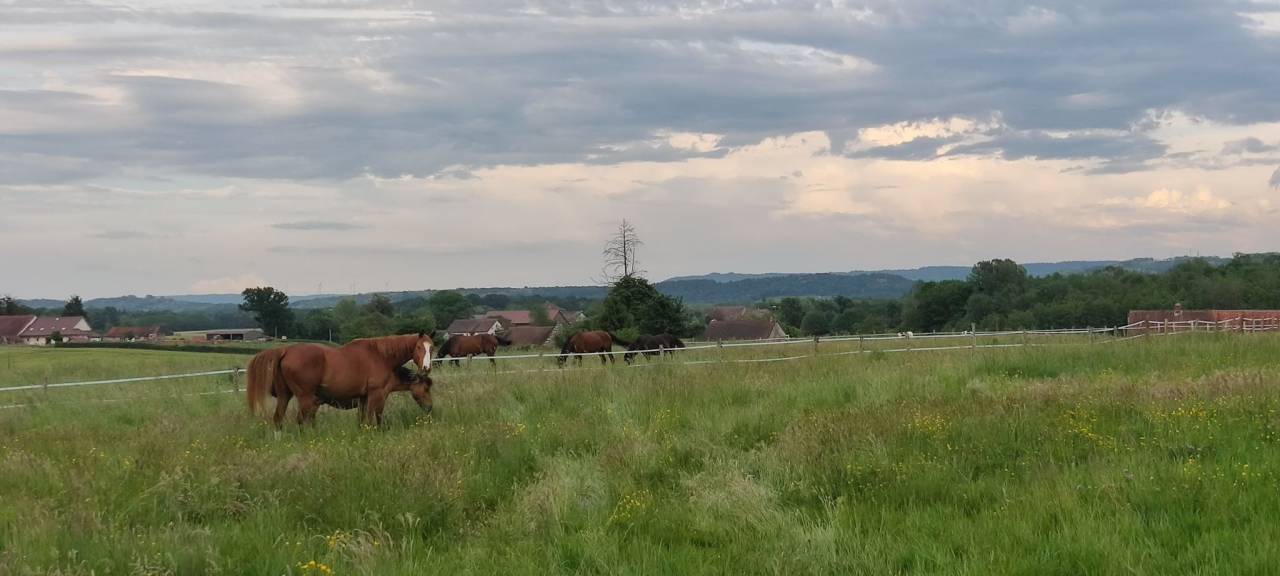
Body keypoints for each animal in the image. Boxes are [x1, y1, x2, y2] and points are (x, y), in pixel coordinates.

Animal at [246, 332, 434, 429]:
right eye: (419, 347)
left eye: (432, 347)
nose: (426, 367)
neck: (380, 355)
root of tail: (285, 350)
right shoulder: (377, 396)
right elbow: (375, 418)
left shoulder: (363, 398)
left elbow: (362, 420)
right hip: (305, 398)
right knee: (301, 421)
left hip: (285, 396)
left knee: (278, 419)